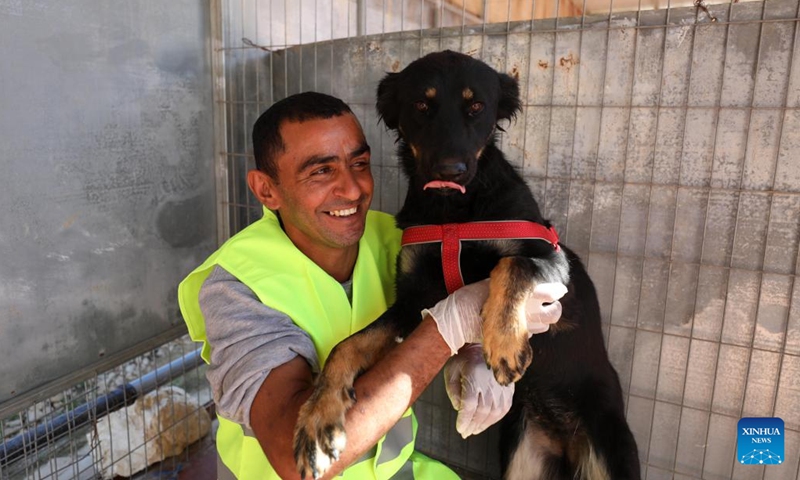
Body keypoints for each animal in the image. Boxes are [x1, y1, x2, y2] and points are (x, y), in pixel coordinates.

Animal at [292, 50, 636, 478]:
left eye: (476, 107)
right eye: (421, 105)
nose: (449, 172)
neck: (453, 211)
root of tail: (565, 443)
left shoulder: (554, 262)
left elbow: (513, 266)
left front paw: (504, 342)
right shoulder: (412, 301)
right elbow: (347, 345)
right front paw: (318, 417)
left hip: (609, 446)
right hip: (523, 455)